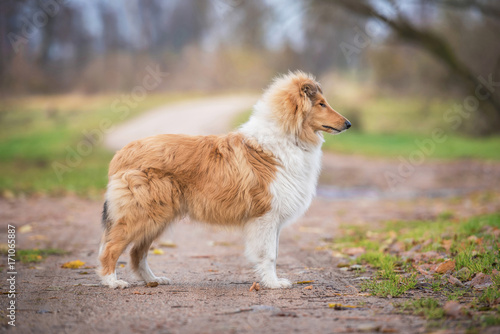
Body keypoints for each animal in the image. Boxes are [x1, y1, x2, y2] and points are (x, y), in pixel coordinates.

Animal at [98, 71, 352, 290]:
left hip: (156, 218)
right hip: (141, 215)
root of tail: (121, 154)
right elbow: (269, 254)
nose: (348, 124)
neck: (287, 138)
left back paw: (153, 280)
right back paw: (112, 282)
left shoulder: (272, 219)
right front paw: (273, 284)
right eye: (321, 104)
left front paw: (271, 281)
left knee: (136, 253)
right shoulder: (266, 216)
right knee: (110, 248)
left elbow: (275, 252)